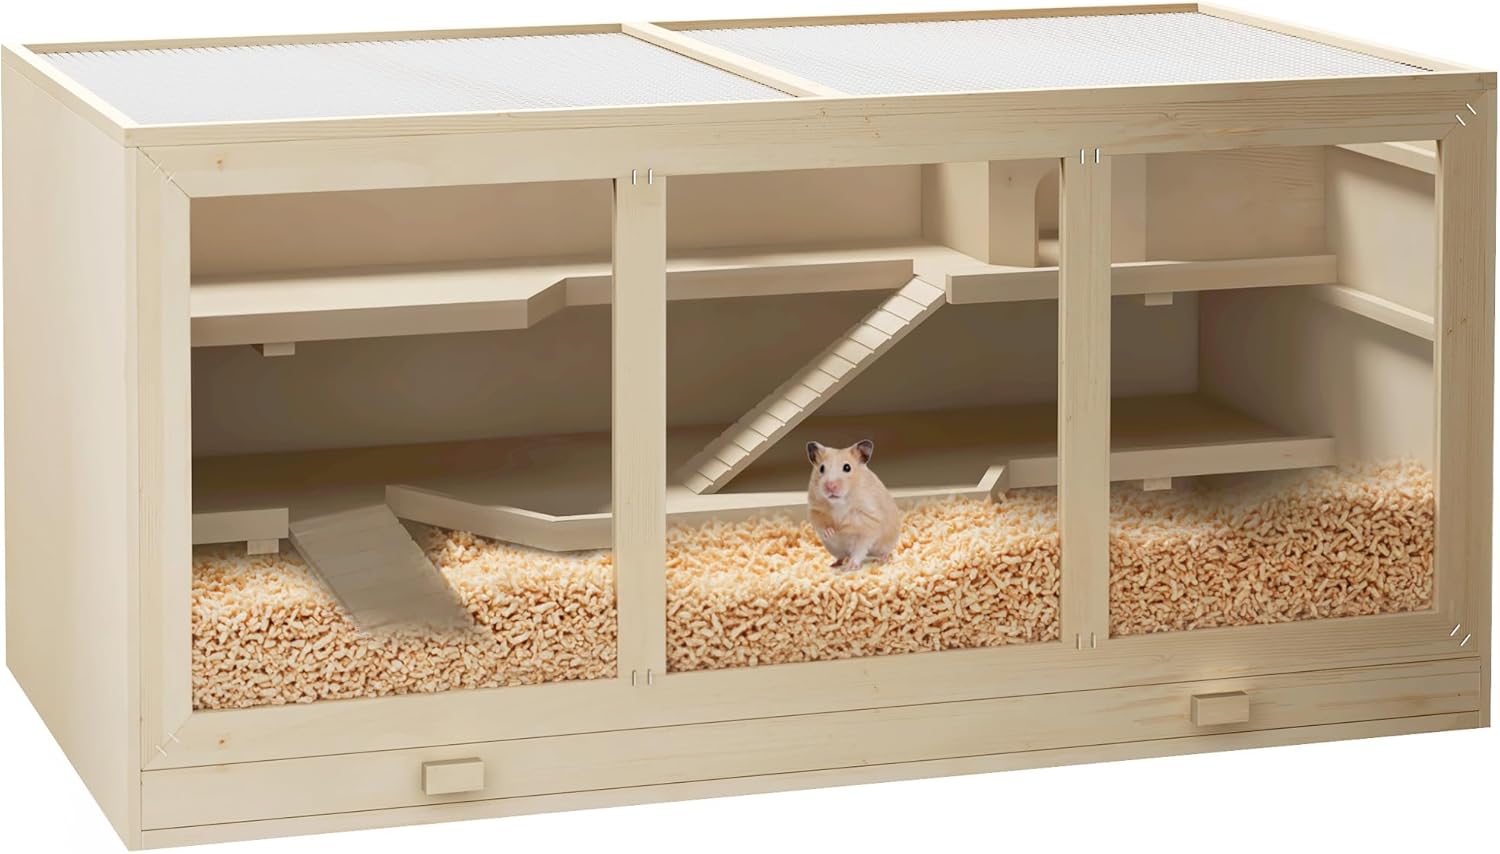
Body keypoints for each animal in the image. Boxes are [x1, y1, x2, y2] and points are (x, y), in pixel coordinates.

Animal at [806, 439, 902, 571]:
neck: (839, 503)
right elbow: (822, 524)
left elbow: (859, 547)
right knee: (842, 556)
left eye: (847, 467)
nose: (830, 486)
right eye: (821, 468)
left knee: (884, 552)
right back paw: (834, 564)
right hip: (835, 549)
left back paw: (881, 561)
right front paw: (832, 532)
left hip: (887, 543)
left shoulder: (869, 522)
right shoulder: (815, 510)